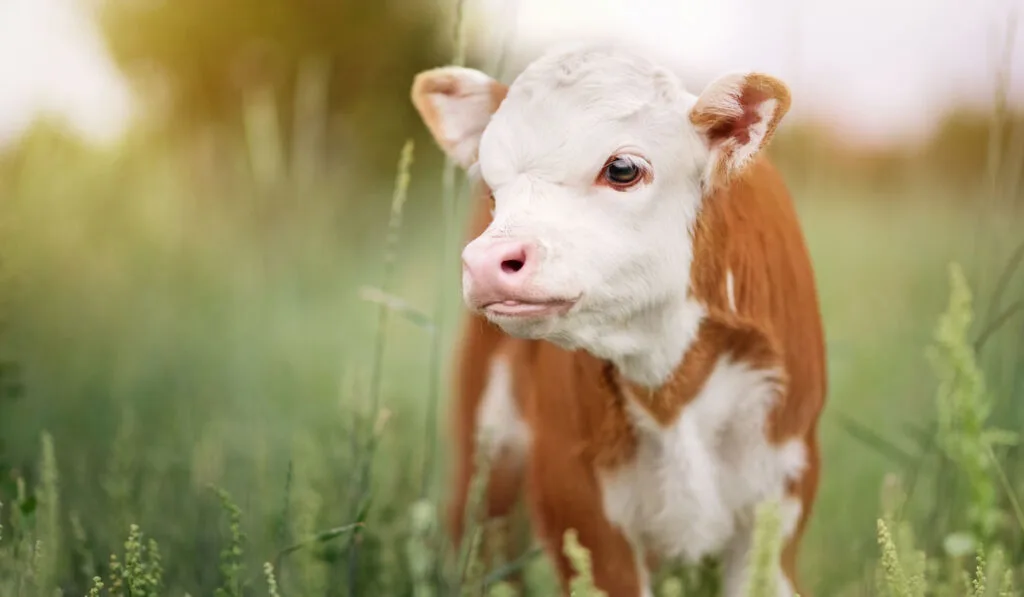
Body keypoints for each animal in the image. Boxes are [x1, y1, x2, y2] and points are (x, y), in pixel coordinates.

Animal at [411, 43, 827, 597]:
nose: (484, 262)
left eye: (623, 169)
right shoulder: (573, 494)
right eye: (493, 190)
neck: (670, 384)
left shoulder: (783, 488)